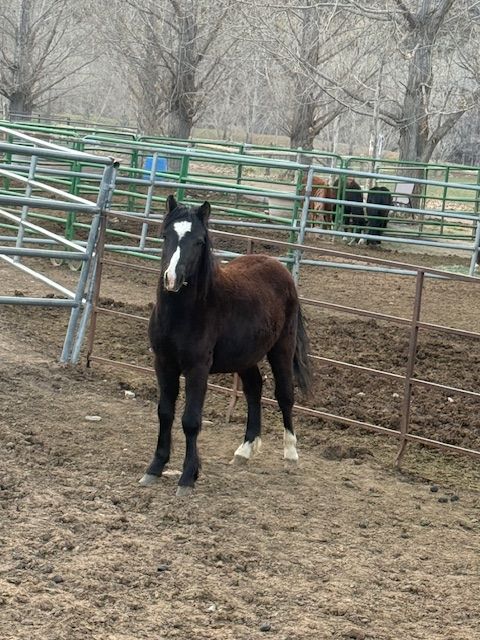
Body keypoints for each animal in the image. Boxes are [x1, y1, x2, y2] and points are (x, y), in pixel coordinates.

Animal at [140, 196, 313, 495]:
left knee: (285, 395)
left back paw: (291, 454)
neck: (185, 313)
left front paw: (188, 477)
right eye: (165, 235)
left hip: (282, 348)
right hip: (245, 357)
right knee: (254, 389)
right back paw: (244, 451)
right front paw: (155, 468)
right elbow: (165, 413)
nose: (172, 279)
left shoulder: (197, 368)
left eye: (199, 241)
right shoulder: (163, 363)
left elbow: (191, 420)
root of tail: (279, 267)